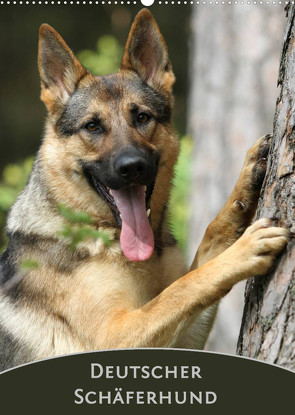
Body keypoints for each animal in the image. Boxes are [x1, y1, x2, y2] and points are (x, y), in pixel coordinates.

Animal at [0, 8, 292, 370]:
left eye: (142, 117)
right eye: (92, 126)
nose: (132, 167)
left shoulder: (182, 336)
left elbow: (207, 246)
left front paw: (249, 176)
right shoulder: (117, 334)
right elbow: (184, 287)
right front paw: (245, 250)